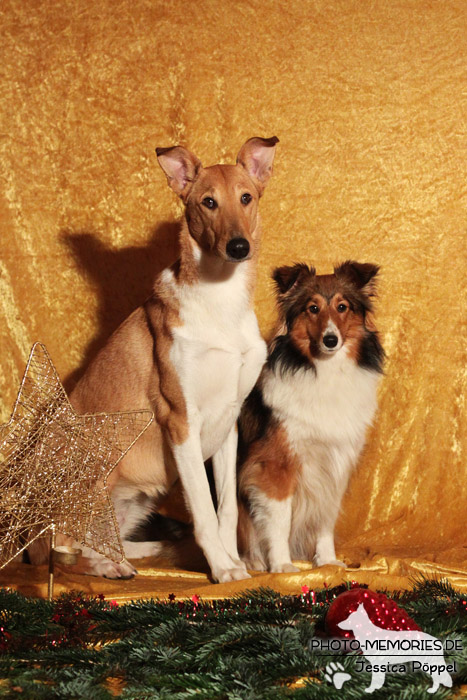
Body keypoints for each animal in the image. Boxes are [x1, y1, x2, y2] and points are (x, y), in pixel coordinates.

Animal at [28, 134, 278, 584]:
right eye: (208, 202)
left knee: (107, 540)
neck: (221, 299)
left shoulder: (228, 422)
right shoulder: (181, 421)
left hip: (141, 496)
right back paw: (110, 567)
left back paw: (145, 551)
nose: (238, 247)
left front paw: (234, 561)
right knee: (64, 553)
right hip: (87, 483)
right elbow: (204, 512)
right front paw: (222, 569)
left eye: (246, 198)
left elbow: (226, 510)